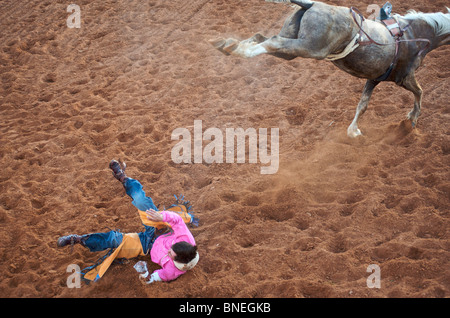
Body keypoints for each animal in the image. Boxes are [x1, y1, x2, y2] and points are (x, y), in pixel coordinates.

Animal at [211, 1, 450, 138]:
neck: (416, 33)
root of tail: (312, 5)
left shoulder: (374, 77)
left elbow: (363, 104)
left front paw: (353, 130)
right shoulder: (404, 76)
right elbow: (420, 92)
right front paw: (412, 119)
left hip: (292, 44)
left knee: (264, 38)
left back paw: (227, 44)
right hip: (308, 47)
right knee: (271, 43)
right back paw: (238, 49)